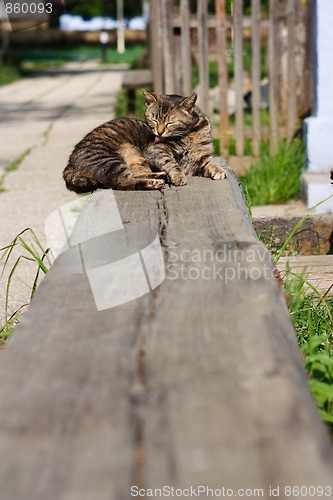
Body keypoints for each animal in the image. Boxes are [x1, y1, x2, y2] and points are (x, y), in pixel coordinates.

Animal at [63, 89, 226, 192]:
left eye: (170, 122)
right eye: (154, 119)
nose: (159, 131)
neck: (189, 134)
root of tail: (69, 163)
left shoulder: (199, 161)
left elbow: (210, 164)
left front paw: (219, 170)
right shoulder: (156, 150)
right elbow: (172, 163)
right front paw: (178, 176)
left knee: (134, 174)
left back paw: (160, 175)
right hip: (109, 159)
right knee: (123, 182)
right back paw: (154, 182)